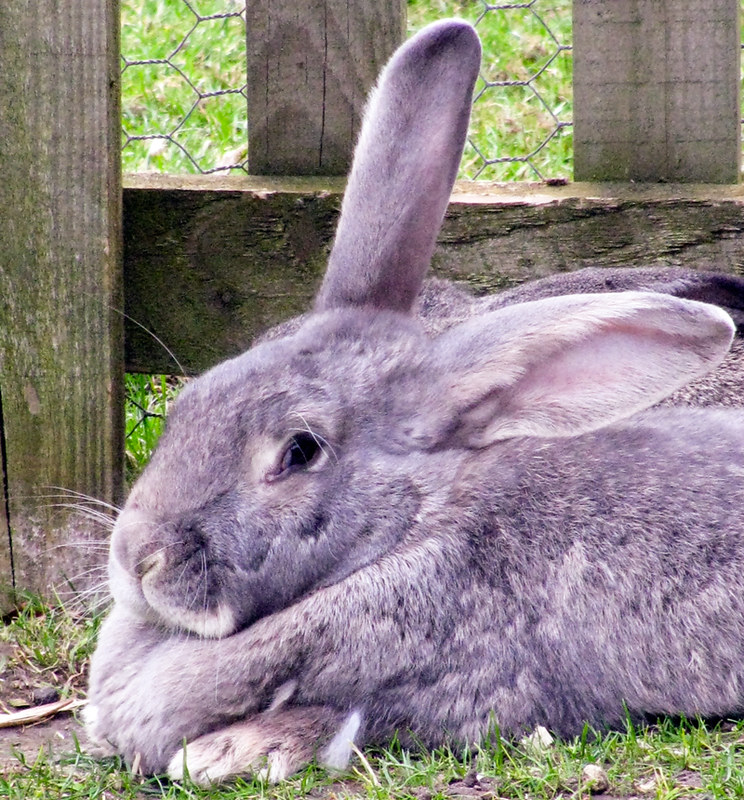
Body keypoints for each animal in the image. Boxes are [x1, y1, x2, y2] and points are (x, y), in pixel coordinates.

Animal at [86, 18, 744, 787]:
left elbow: (345, 719)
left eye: (299, 451)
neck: (408, 535)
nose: (137, 557)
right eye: (190, 401)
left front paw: (227, 752)